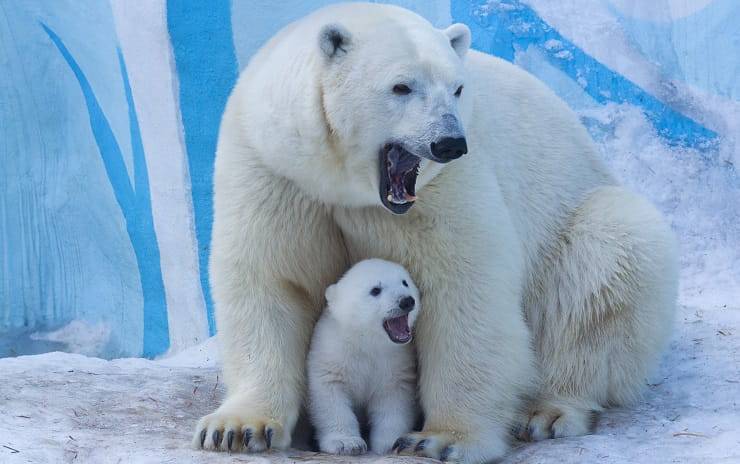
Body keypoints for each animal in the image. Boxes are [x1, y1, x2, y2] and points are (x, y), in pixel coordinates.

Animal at [194, 2, 680, 460]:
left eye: (458, 88)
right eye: (401, 86)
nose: (449, 143)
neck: (344, 185)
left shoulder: (444, 189)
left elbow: (465, 288)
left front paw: (442, 439)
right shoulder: (275, 170)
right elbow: (270, 281)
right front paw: (238, 428)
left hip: (578, 215)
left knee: (604, 265)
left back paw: (547, 410)